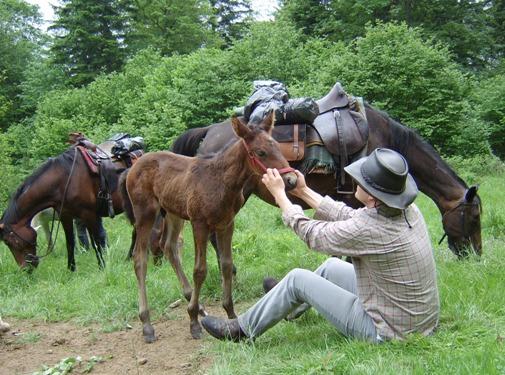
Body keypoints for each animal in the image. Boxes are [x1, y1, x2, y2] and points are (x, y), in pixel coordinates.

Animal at [120, 113, 298, 342]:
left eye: (277, 146)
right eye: (261, 152)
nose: (292, 180)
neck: (222, 182)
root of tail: (131, 168)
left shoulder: (226, 224)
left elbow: (226, 264)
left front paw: (230, 316)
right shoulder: (199, 224)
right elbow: (200, 270)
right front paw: (193, 322)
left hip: (173, 213)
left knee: (169, 247)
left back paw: (195, 304)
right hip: (145, 214)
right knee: (140, 258)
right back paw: (147, 324)